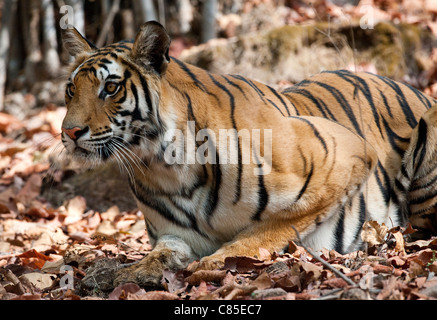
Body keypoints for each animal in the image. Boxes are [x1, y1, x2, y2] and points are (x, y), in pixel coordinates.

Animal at [60, 20, 436, 288]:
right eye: (71, 89)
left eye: (111, 88)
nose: (69, 132)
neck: (162, 165)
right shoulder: (175, 235)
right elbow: (160, 254)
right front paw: (122, 272)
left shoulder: (346, 155)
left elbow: (269, 227)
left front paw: (213, 263)